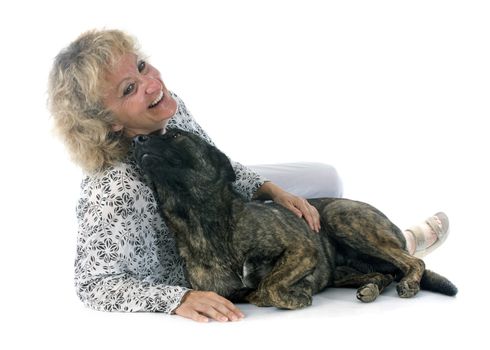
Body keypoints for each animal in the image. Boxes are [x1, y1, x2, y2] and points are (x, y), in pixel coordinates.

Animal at [132, 129, 458, 308]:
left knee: (412, 262)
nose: (137, 138)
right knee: (384, 274)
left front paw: (293, 295)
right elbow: (256, 290)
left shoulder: (303, 249)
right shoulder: (225, 293)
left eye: (175, 135)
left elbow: (268, 286)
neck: (200, 221)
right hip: (342, 271)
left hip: (342, 217)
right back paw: (371, 287)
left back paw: (409, 282)